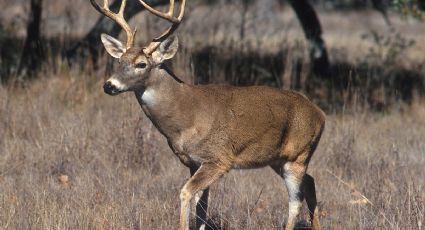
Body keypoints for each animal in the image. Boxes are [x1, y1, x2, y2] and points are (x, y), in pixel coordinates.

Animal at [90, 0, 324, 229]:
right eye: (119, 61)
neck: (185, 119)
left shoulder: (218, 158)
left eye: (141, 64)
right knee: (310, 183)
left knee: (295, 201)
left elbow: (186, 193)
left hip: (298, 154)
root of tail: (320, 114)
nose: (109, 85)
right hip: (278, 159)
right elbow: (201, 206)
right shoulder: (193, 162)